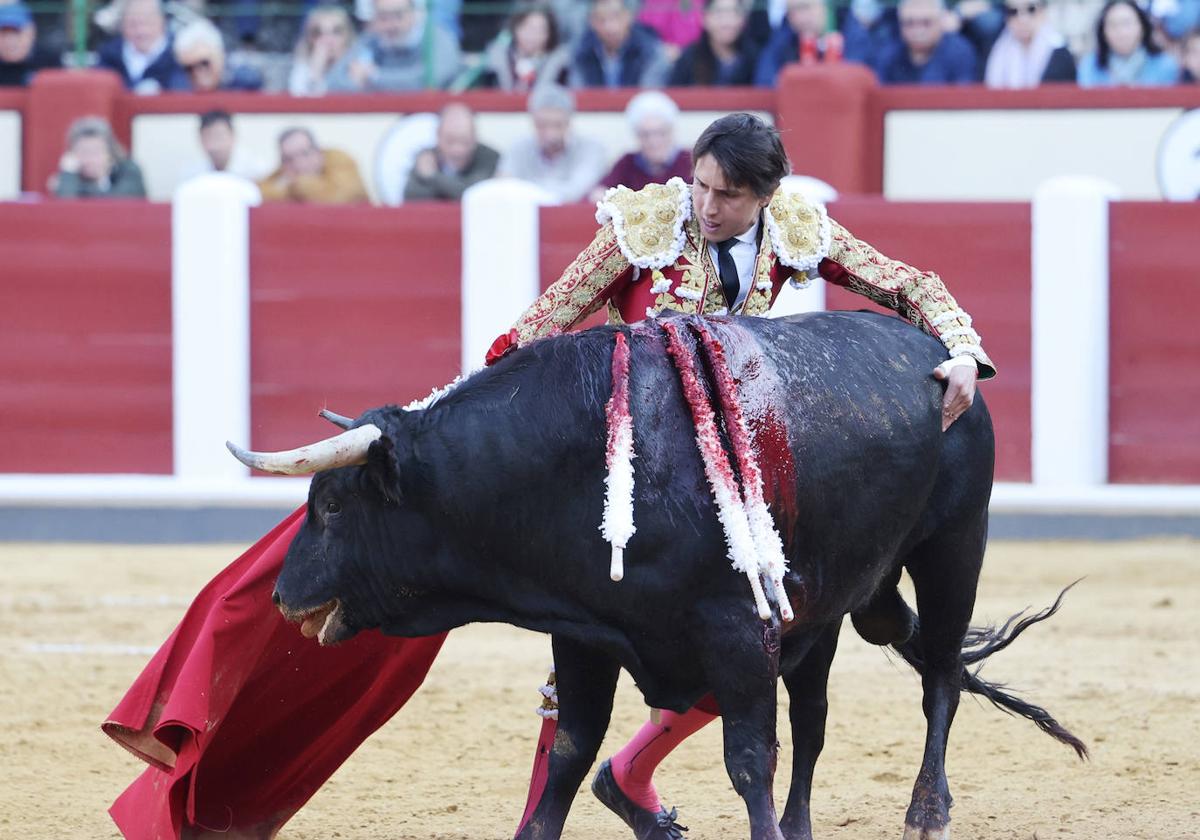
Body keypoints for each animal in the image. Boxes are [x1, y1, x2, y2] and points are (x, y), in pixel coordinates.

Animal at [267, 314, 1084, 840]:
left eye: (333, 504)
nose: (281, 595)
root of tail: (942, 358)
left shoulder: (737, 631)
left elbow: (748, 760)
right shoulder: (587, 631)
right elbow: (569, 753)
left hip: (955, 544)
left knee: (939, 673)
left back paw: (927, 812)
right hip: (829, 602)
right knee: (819, 715)